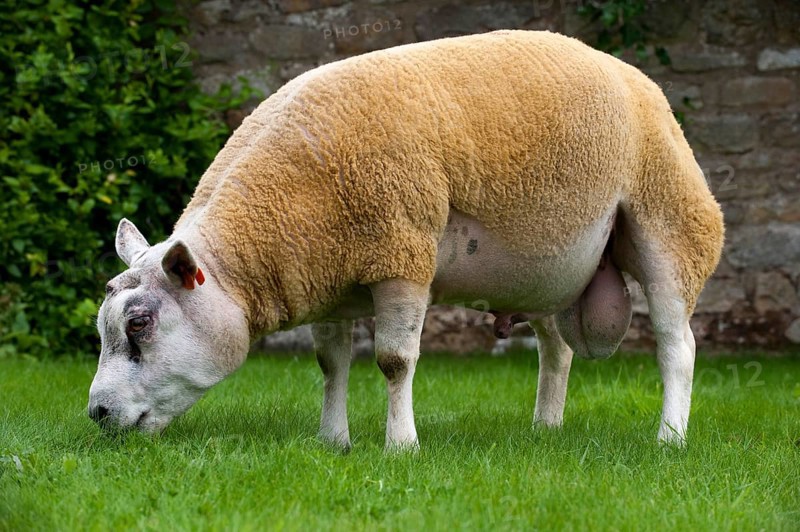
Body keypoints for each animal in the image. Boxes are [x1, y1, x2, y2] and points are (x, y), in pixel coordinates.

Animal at [88, 30, 724, 449]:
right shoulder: (329, 277)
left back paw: (670, 438)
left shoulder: (403, 255)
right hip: (549, 269)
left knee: (677, 345)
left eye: (139, 325)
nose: (96, 413)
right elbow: (331, 364)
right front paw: (333, 441)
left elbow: (395, 361)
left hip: (671, 222)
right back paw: (545, 428)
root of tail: (635, 77)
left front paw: (401, 446)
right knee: (557, 349)